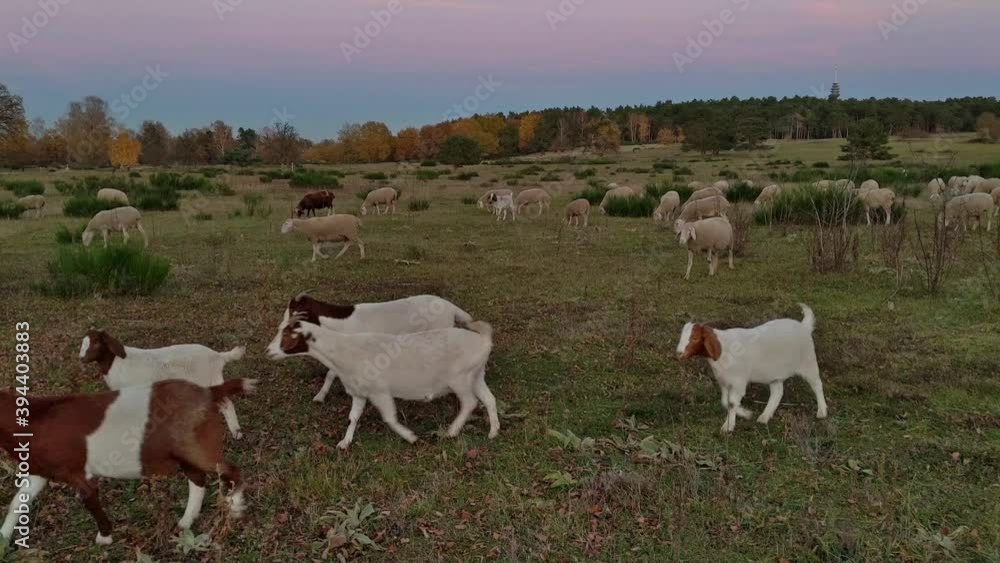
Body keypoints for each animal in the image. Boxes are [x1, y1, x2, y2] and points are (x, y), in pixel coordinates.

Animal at [0, 379, 255, 545]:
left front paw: (104, 537)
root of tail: (209, 392)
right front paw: (3, 537)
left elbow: (90, 501)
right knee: (198, 479)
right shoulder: (40, 472)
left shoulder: (79, 473)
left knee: (229, 470)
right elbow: (17, 502)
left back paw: (235, 507)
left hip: (198, 448)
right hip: (186, 453)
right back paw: (185, 522)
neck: (35, 420)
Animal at [79, 329, 247, 439]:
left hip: (206, 380)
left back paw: (236, 433)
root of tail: (217, 356)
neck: (116, 362)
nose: (81, 358)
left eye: (96, 343)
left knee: (226, 404)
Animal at [266, 316, 498, 449]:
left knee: (470, 402)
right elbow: (353, 417)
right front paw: (345, 442)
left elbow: (389, 418)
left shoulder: (380, 392)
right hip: (476, 375)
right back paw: (493, 432)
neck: (342, 350)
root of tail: (484, 340)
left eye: (288, 335)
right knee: (489, 399)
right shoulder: (359, 392)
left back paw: (451, 431)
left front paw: (410, 437)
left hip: (460, 377)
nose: (268, 351)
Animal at [267, 292, 475, 403]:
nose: (280, 328)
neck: (341, 322)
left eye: (295, 314)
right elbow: (330, 373)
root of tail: (451, 307)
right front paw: (320, 396)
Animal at [675, 304, 827, 433]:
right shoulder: (724, 382)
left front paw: (728, 426)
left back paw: (822, 411)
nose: (678, 353)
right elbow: (725, 402)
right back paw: (764, 417)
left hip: (808, 362)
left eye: (695, 338)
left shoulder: (738, 381)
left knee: (817, 385)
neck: (724, 347)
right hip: (775, 373)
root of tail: (804, 326)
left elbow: (731, 403)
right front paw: (746, 413)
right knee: (777, 392)